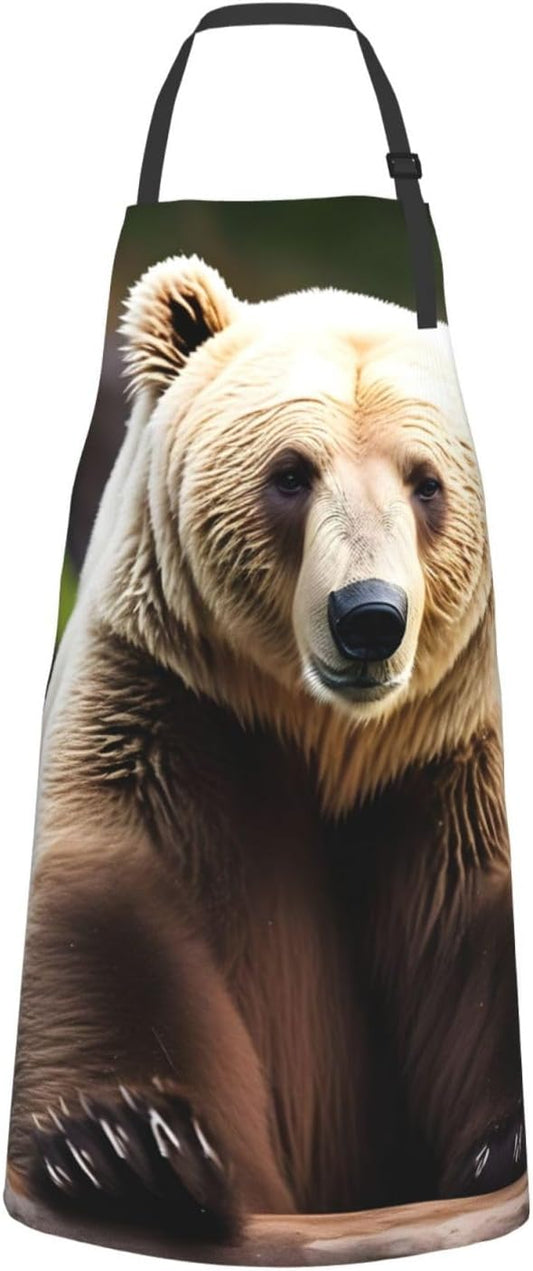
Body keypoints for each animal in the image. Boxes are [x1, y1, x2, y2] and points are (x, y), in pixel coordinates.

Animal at [6, 255, 526, 1245]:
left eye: (426, 482)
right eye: (289, 473)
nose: (367, 616)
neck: (333, 738)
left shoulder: (450, 753)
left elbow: (478, 919)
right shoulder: (167, 706)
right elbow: (111, 909)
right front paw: (127, 1147)